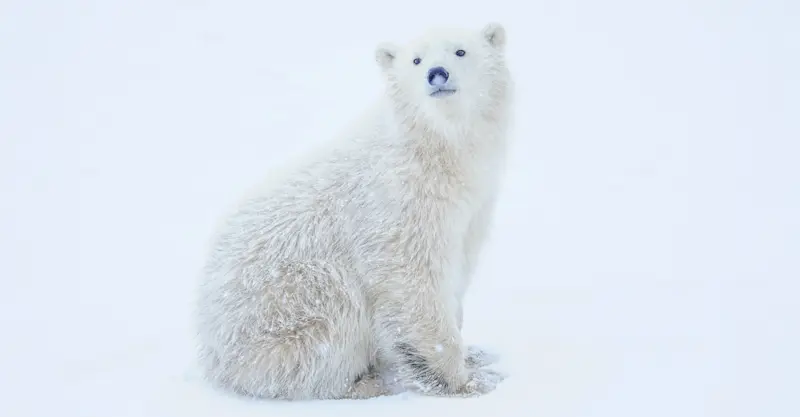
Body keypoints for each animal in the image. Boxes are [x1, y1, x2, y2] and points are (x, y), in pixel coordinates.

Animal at [195, 22, 514, 401]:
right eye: (416, 60)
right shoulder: (398, 203)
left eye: (460, 51)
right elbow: (412, 282)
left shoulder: (472, 209)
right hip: (284, 308)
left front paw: (475, 357)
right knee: (332, 314)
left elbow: (458, 271)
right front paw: (465, 383)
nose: (437, 74)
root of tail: (211, 351)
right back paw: (367, 383)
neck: (434, 148)